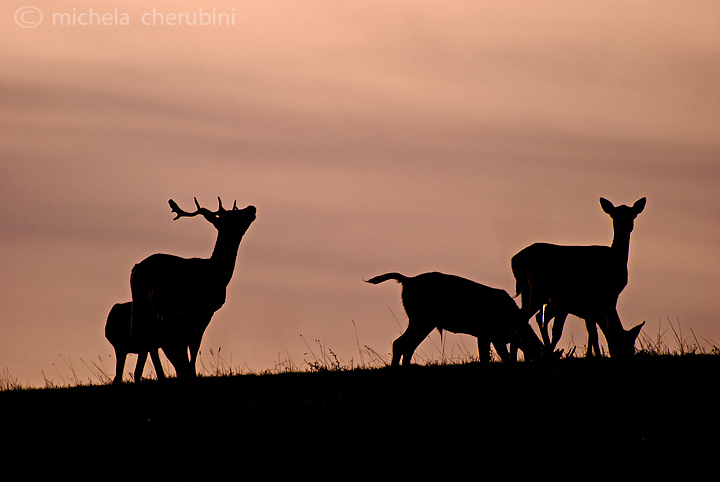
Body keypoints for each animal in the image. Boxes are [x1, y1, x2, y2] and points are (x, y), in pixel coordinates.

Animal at [129, 198, 256, 378]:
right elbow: (193, 344)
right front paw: (191, 373)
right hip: (148, 305)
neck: (217, 273)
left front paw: (189, 372)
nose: (252, 207)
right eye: (234, 216)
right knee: (150, 340)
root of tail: (135, 268)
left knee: (150, 341)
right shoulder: (200, 310)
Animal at [366, 272, 540, 366]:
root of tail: (407, 280)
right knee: (401, 343)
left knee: (406, 345)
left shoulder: (490, 337)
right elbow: (491, 356)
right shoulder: (487, 334)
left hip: (421, 320)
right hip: (422, 319)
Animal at [510, 198, 648, 360]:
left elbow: (598, 327)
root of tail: (515, 260)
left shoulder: (611, 297)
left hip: (527, 289)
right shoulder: (589, 293)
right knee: (524, 317)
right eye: (614, 216)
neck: (613, 262)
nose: (624, 227)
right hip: (539, 288)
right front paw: (596, 356)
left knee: (524, 316)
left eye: (632, 215)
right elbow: (592, 329)